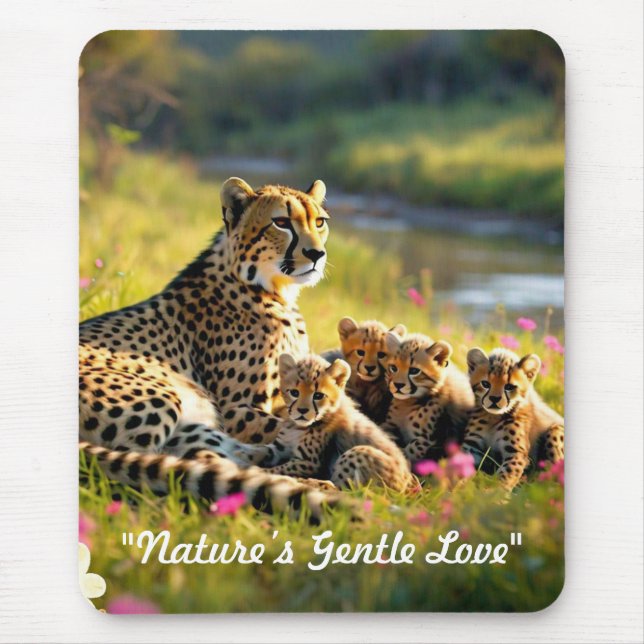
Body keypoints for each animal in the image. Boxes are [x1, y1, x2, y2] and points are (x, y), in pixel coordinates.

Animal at [79, 176, 343, 514]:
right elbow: (294, 425)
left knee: (222, 462)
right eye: (282, 222)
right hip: (162, 397)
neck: (267, 287)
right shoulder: (237, 409)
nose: (316, 254)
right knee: (164, 464)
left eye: (319, 222)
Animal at [233, 353, 413, 492]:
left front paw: (256, 470)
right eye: (294, 392)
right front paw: (241, 454)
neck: (299, 426)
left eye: (318, 395)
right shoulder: (280, 448)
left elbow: (277, 469)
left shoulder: (307, 462)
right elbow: (261, 450)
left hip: (358, 452)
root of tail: (406, 483)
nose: (302, 411)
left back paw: (309, 482)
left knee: (339, 488)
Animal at [381, 332, 474, 464]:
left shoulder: (431, 439)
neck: (408, 403)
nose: (398, 385)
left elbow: (411, 450)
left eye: (414, 370)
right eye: (393, 368)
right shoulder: (390, 425)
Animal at [462, 347, 564, 490]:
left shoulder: (516, 452)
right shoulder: (472, 445)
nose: (494, 399)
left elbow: (506, 475)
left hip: (556, 430)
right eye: (485, 384)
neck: (494, 417)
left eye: (509, 387)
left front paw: (493, 493)